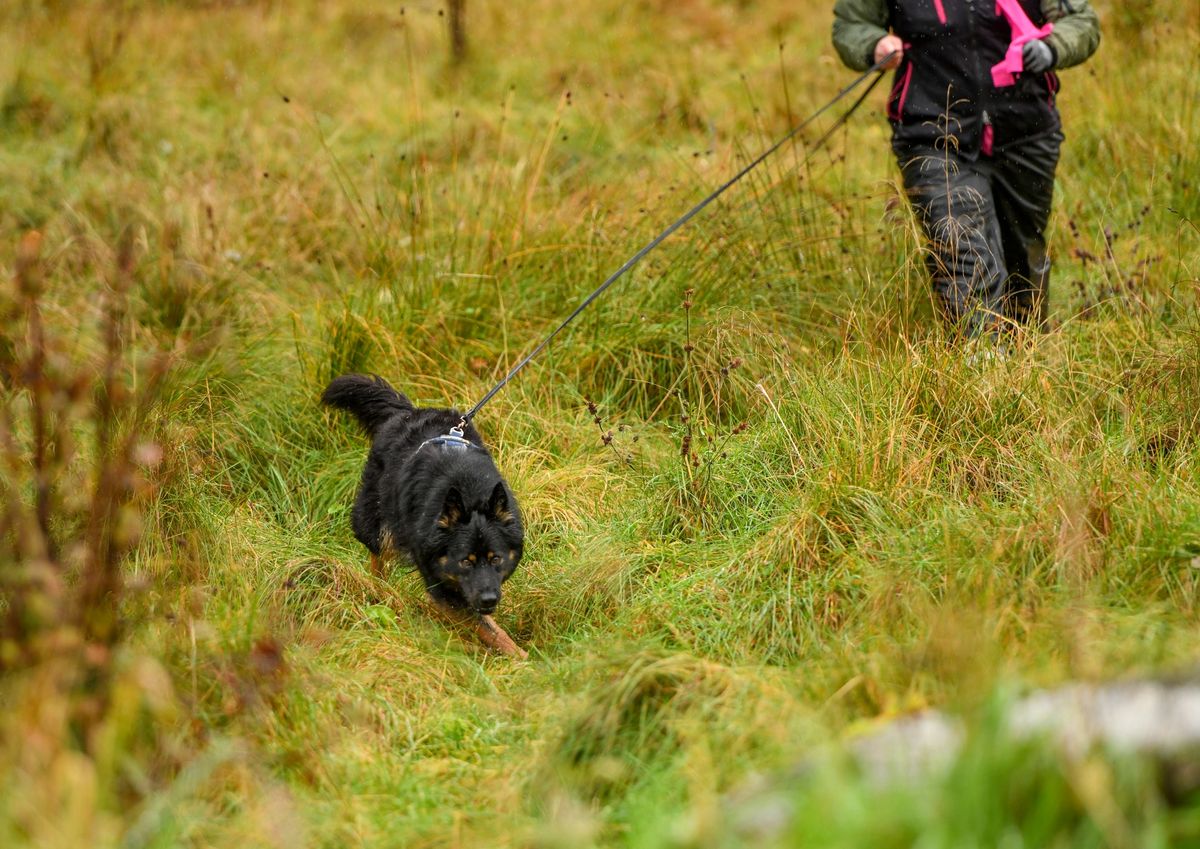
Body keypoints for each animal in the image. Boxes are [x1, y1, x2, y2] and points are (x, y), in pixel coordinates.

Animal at [321, 374, 523, 613]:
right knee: (376, 550)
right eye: (465, 561)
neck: (469, 493)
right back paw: (379, 588)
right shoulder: (438, 576)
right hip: (373, 517)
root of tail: (407, 412)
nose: (489, 599)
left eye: (496, 559)